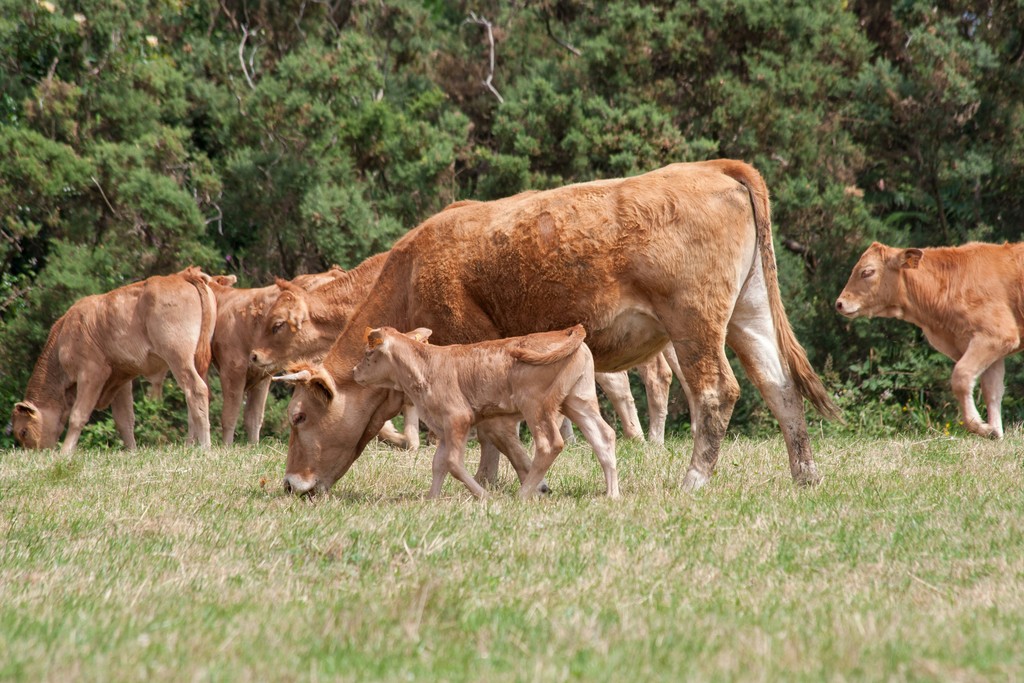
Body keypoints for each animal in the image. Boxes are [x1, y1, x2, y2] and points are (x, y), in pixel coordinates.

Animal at [11, 267, 216, 452]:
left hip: (178, 358)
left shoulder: (92, 373)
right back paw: (190, 445)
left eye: (23, 432)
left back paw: (205, 446)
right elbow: (124, 419)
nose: (35, 455)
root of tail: (183, 275)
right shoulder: (121, 377)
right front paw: (132, 451)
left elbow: (78, 415)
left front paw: (65, 453)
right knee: (194, 399)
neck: (63, 335)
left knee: (196, 390)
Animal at [350, 325, 619, 498]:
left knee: (550, 444)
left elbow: (452, 462)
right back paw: (612, 494)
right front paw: (431, 498)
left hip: (536, 405)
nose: (354, 371)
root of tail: (568, 330)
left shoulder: (458, 417)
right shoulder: (444, 427)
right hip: (578, 399)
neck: (426, 365)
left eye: (368, 353)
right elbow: (438, 463)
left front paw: (484, 496)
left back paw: (521, 495)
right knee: (603, 436)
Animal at [835, 240, 1024, 438]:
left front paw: (980, 427)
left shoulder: (996, 335)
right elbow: (992, 392)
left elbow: (961, 376)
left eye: (867, 271)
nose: (839, 303)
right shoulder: (991, 348)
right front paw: (995, 432)